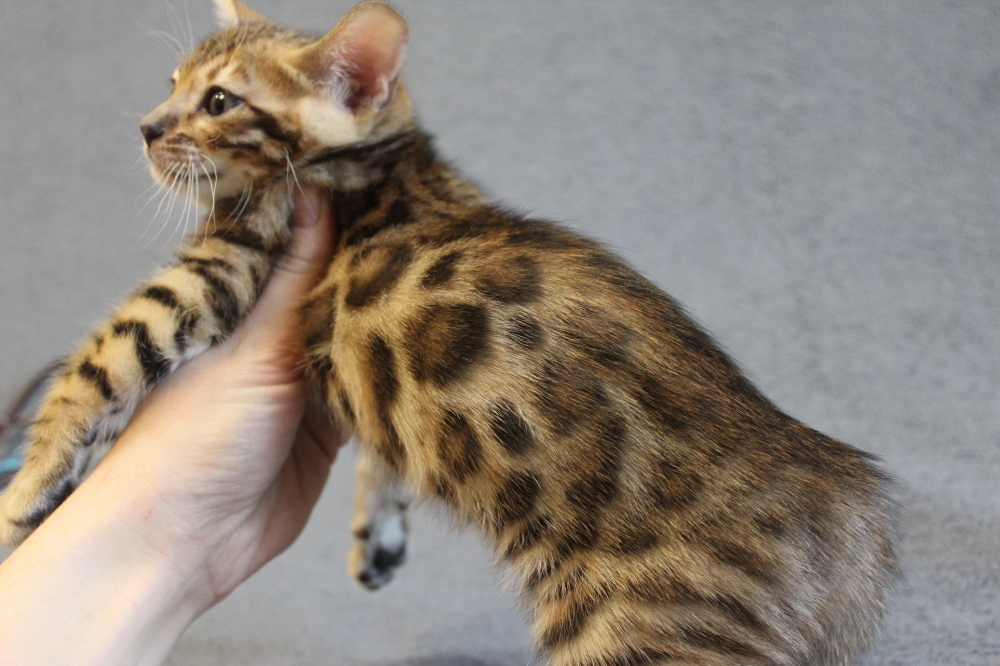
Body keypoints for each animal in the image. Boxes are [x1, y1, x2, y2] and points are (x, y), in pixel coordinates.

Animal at [0, 2, 899, 664]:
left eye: (219, 100)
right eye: (172, 82)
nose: (147, 127)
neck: (392, 162)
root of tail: (840, 507)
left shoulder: (228, 261)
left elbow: (100, 361)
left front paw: (23, 494)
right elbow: (382, 455)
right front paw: (379, 526)